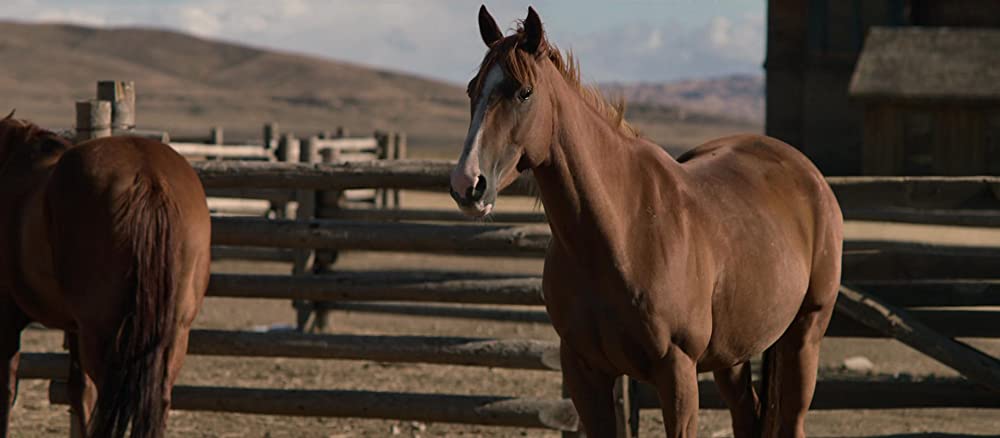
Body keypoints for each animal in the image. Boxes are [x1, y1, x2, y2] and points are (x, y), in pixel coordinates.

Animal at [0, 114, 211, 438]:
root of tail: (149, 177)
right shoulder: (73, 326)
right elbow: (77, 390)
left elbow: (8, 388)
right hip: (174, 332)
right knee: (156, 399)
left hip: (102, 333)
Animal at [454, 6, 844, 438]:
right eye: (472, 89)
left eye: (525, 92)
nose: (468, 184)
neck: (622, 231)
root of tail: (807, 174)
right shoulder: (584, 371)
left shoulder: (677, 371)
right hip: (734, 353)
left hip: (805, 335)